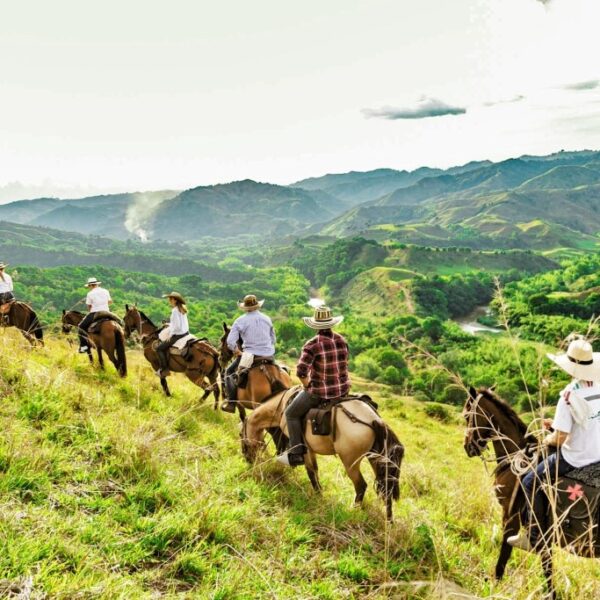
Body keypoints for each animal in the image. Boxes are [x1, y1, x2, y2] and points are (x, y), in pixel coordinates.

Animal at [239, 390, 404, 520]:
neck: (281, 408)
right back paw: (389, 521)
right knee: (386, 489)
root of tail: (373, 419)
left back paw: (354, 510)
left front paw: (318, 498)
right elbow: (315, 472)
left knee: (361, 486)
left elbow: (311, 473)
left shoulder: (305, 449)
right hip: (376, 460)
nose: (247, 459)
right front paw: (320, 496)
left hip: (350, 462)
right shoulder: (311, 450)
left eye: (241, 434)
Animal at [462, 386, 596, 596]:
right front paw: (551, 594)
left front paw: (493, 585)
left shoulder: (510, 516)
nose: (468, 446)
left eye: (467, 415)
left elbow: (504, 554)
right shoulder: (545, 533)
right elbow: (547, 565)